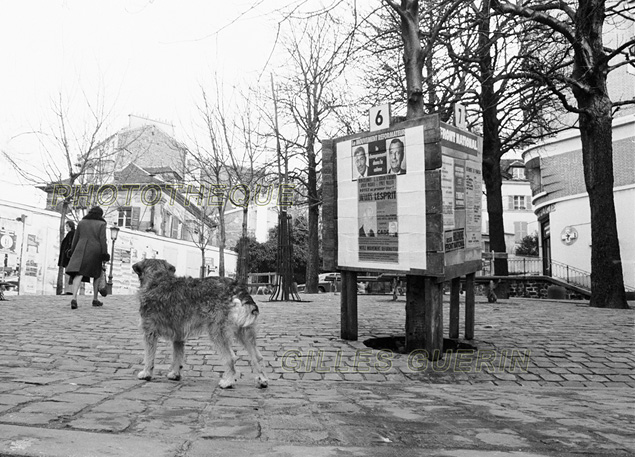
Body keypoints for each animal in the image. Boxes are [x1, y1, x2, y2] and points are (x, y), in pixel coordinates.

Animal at [133, 258, 268, 386]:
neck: (157, 280)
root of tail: (235, 286)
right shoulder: (178, 336)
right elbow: (177, 357)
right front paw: (175, 374)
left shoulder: (149, 333)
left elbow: (149, 357)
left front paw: (146, 373)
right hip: (244, 332)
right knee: (257, 357)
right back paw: (262, 380)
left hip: (217, 332)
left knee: (231, 358)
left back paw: (228, 382)